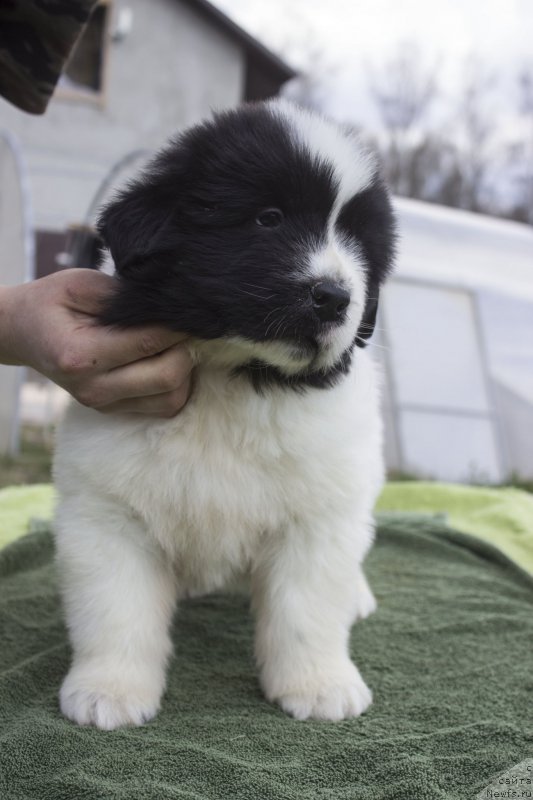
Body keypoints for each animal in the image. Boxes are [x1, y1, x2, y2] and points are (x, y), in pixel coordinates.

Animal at [54, 97, 394, 728]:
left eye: (358, 242)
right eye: (268, 218)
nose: (335, 298)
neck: (231, 375)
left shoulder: (317, 513)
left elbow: (308, 608)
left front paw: (319, 685)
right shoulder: (107, 510)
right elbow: (115, 608)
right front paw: (108, 690)